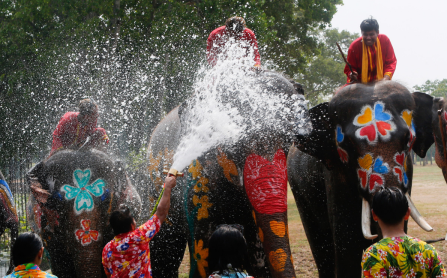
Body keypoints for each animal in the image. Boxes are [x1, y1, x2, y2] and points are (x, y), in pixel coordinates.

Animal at [288, 81, 436, 276]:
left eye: (408, 140)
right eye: (348, 145)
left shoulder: (408, 171)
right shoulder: (336, 175)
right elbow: (348, 247)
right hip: (297, 187)